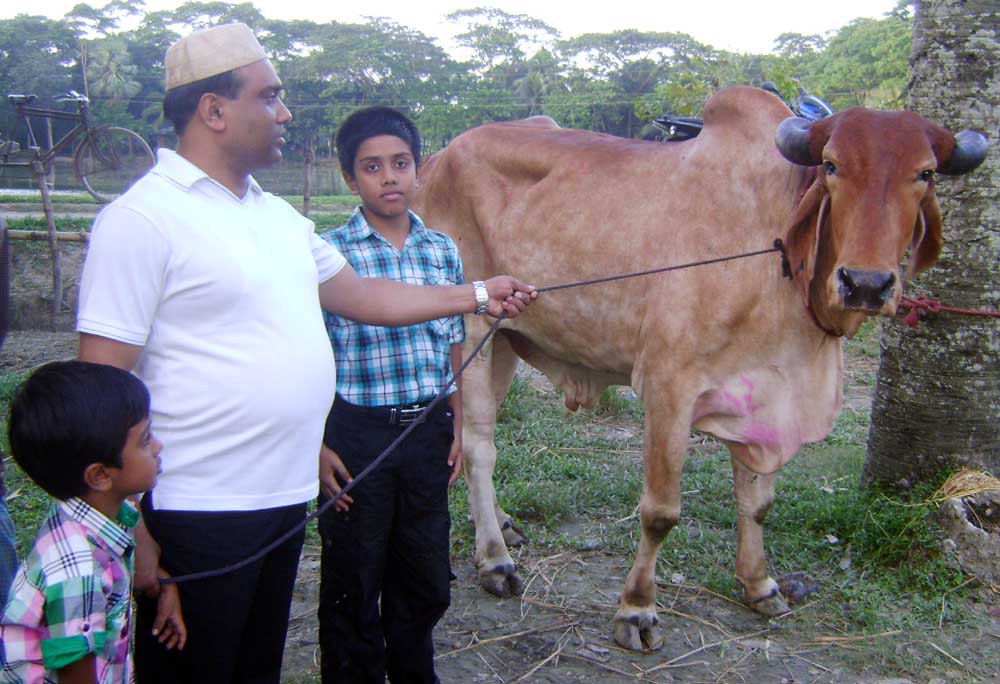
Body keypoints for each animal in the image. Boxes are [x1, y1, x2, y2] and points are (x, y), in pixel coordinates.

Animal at [410, 87, 988, 652]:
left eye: (926, 173)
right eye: (831, 165)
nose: (866, 283)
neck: (775, 257)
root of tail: (435, 161)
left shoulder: (766, 396)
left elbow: (758, 503)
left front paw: (760, 584)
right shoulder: (669, 388)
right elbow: (660, 512)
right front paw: (637, 609)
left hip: (507, 338)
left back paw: (502, 526)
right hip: (471, 329)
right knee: (479, 447)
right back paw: (494, 558)